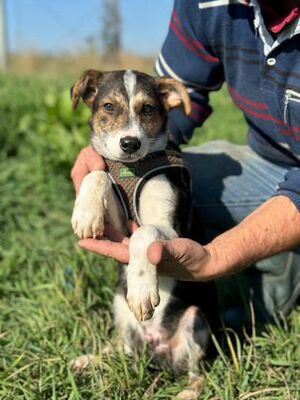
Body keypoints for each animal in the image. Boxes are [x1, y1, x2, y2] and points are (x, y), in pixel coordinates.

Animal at [71, 70, 213, 398]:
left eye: (147, 108)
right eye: (108, 106)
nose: (129, 143)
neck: (132, 169)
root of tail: (155, 349)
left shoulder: (173, 230)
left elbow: (145, 231)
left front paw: (142, 289)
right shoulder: (117, 226)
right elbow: (98, 173)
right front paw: (85, 212)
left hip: (196, 322)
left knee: (197, 371)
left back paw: (189, 392)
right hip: (119, 309)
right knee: (122, 350)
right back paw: (89, 360)